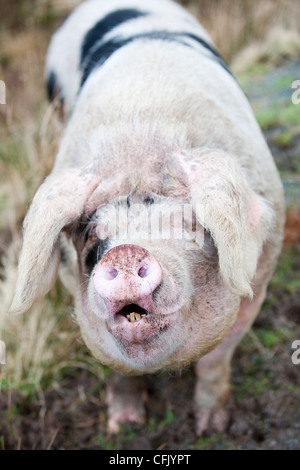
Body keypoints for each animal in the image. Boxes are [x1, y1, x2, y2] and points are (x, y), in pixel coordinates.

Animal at [9, 0, 284, 436]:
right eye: (92, 235)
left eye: (192, 226)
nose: (124, 253)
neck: (139, 141)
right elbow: (116, 369)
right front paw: (123, 425)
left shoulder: (261, 273)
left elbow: (216, 359)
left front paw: (211, 427)